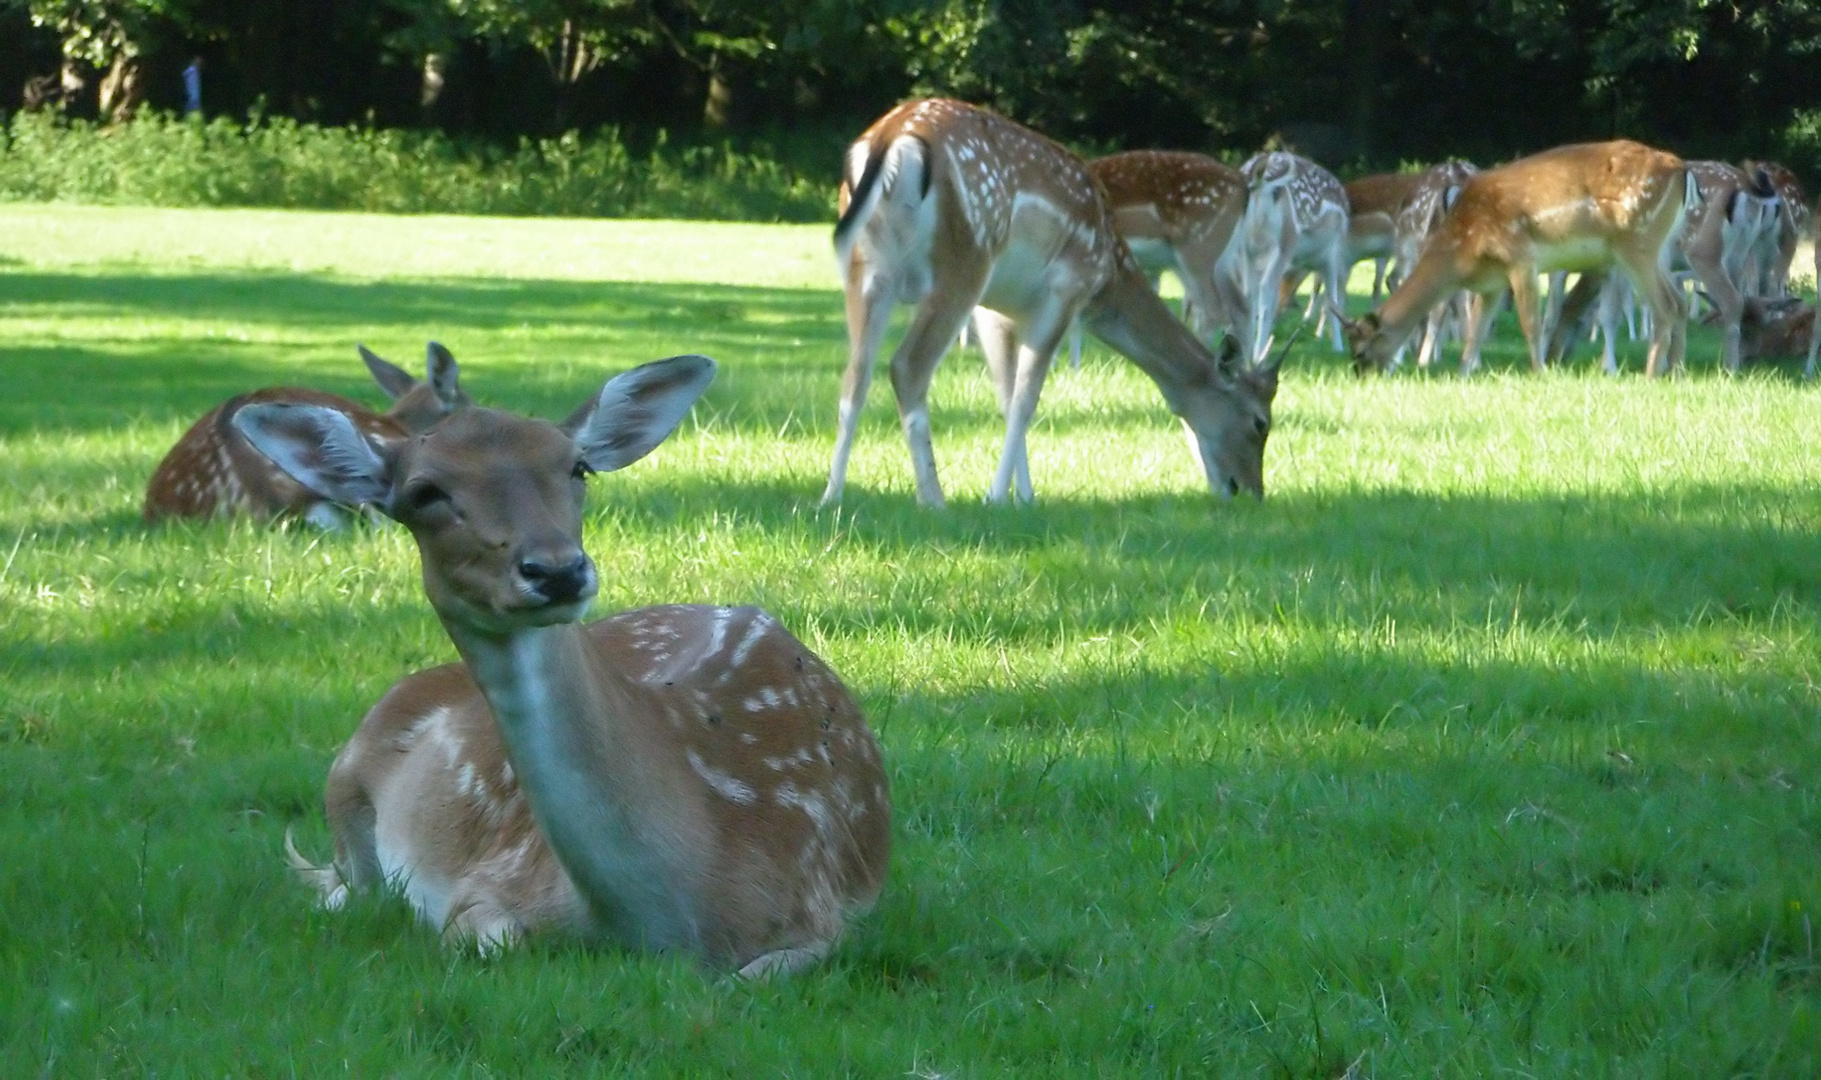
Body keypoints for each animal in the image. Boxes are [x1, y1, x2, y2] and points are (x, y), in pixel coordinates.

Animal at [234, 355, 888, 976]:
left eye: (578, 467)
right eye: (424, 493)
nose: (555, 569)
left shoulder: (825, 910)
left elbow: (755, 976)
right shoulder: (487, 882)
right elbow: (483, 939)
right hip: (342, 785)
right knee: (342, 887)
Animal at [826, 100, 1281, 506]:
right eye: (1260, 422)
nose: (1250, 491)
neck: (1109, 274)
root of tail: (889, 138)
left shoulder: (994, 309)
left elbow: (1006, 394)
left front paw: (1022, 496)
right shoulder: (1066, 289)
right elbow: (1026, 399)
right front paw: (998, 497)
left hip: (869, 268)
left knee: (855, 374)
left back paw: (831, 497)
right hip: (965, 258)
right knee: (907, 367)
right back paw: (932, 499)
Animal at [1209, 149, 1354, 364]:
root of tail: (1259, 179)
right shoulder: (1332, 253)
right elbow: (1332, 298)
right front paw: (1338, 347)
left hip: (1245, 248)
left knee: (1248, 293)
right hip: (1285, 241)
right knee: (1266, 290)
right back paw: (1259, 354)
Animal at [1340, 139, 1689, 376]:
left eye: (1360, 352)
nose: (1361, 376)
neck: (1464, 249)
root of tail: (1679, 169)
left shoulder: (1521, 256)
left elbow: (1529, 321)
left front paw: (1540, 371)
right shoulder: (1492, 283)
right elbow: (1476, 329)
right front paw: (1463, 373)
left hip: (1636, 242)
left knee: (1665, 305)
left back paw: (1651, 374)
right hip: (1661, 246)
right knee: (1679, 300)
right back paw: (1674, 370)